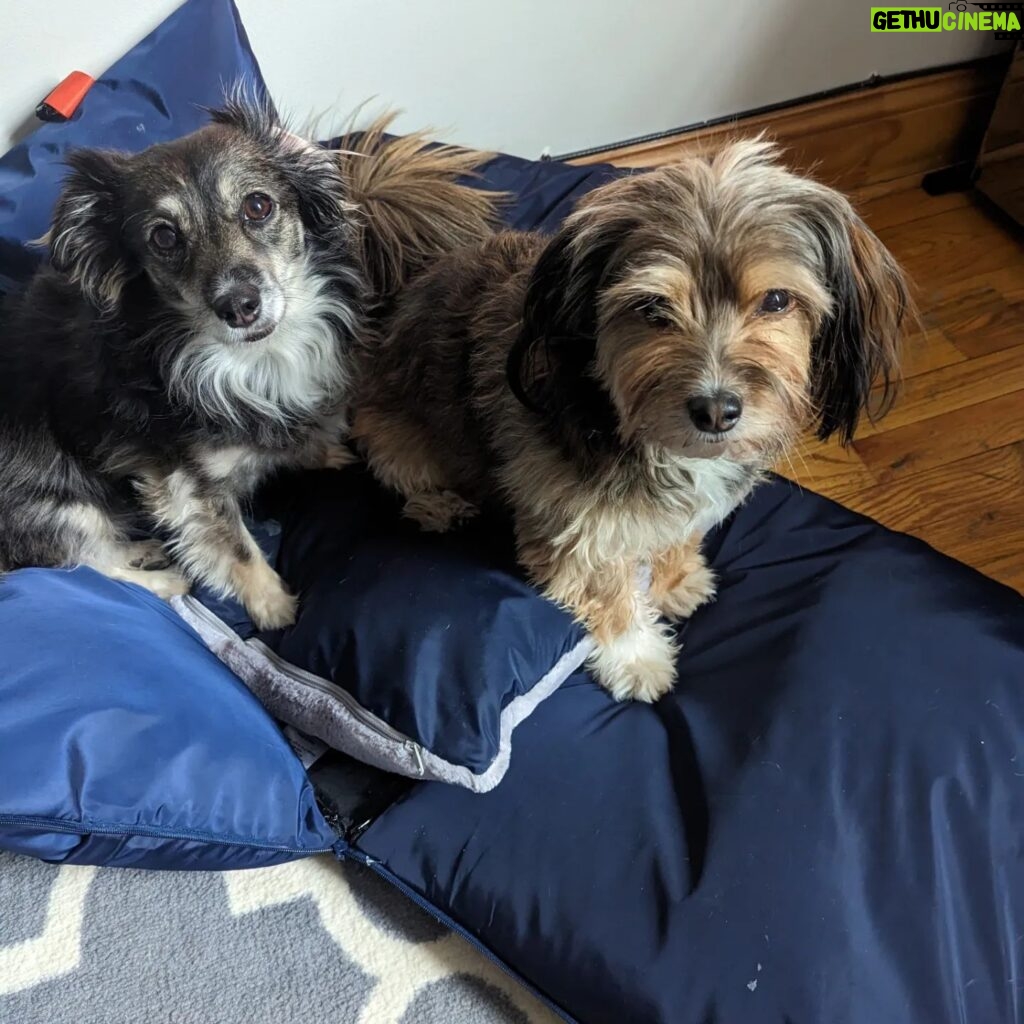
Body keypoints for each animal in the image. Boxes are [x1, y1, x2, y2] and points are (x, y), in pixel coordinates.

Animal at [352, 142, 905, 704]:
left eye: (776, 300)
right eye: (652, 307)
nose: (716, 411)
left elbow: (679, 535)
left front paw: (676, 580)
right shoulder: (578, 536)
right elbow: (611, 599)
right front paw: (638, 659)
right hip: (394, 435)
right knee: (401, 470)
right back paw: (439, 506)